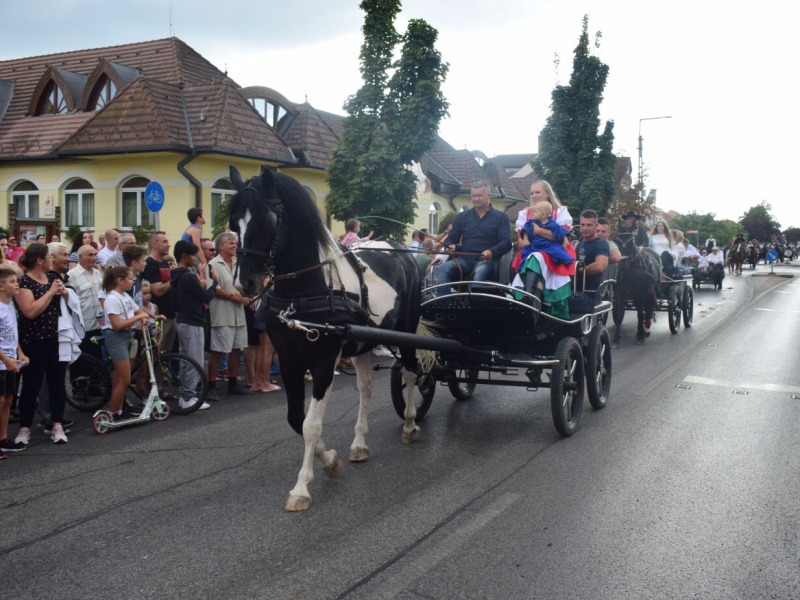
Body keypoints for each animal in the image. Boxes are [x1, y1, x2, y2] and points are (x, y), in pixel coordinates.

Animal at [225, 165, 424, 510]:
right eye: (234, 222)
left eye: (267, 221)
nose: (244, 284)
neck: (302, 293)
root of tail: (399, 248)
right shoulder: (289, 360)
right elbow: (296, 419)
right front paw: (330, 460)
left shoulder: (322, 361)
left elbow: (311, 425)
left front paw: (302, 487)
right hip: (362, 342)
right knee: (365, 388)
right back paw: (359, 442)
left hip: (407, 329)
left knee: (410, 373)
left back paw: (411, 423)